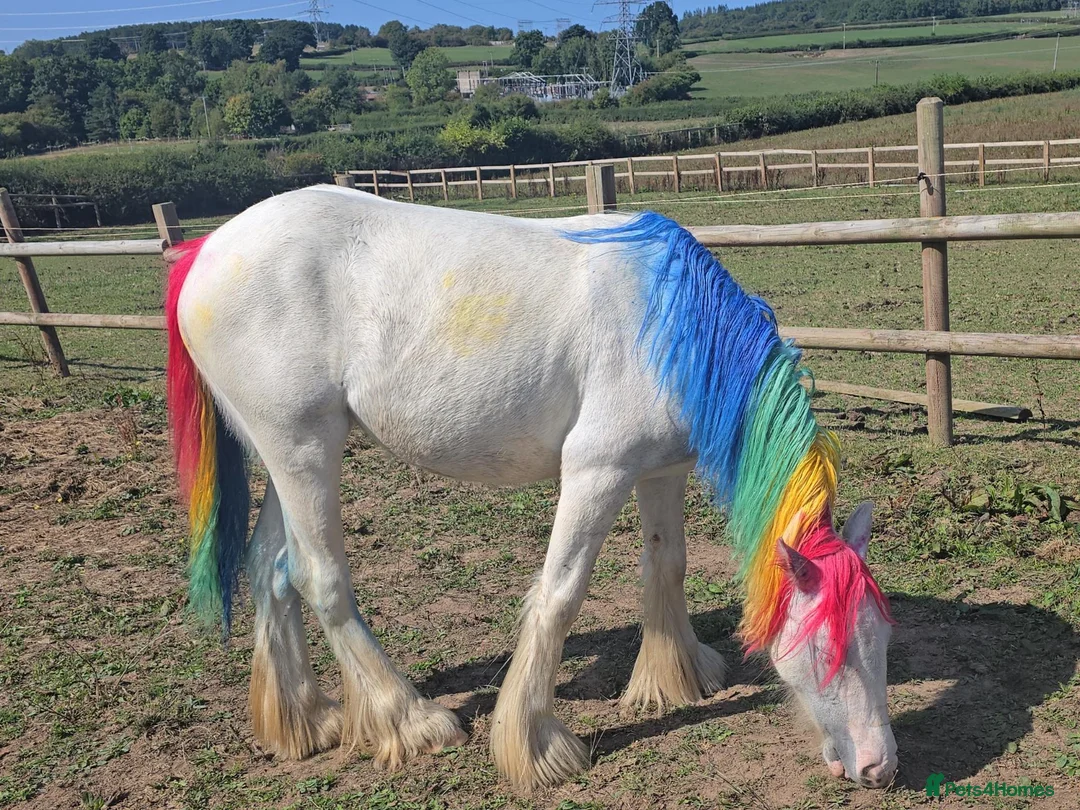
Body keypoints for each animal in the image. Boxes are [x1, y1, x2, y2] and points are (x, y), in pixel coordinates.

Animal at [164, 186, 896, 791]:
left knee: (271, 569)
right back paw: (412, 720)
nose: (879, 767)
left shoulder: (661, 470)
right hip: (304, 450)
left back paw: (306, 721)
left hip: (284, 457)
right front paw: (537, 747)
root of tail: (207, 251)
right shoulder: (597, 471)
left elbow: (667, 566)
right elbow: (560, 594)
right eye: (825, 648)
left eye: (880, 638)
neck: (675, 325)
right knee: (319, 578)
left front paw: (678, 677)